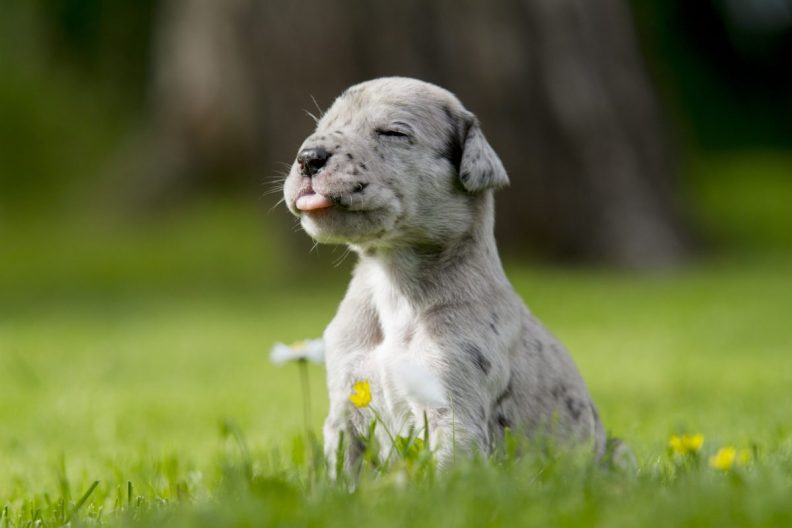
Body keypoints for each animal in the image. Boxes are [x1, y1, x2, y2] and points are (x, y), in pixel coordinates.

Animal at [284, 76, 608, 468]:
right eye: (322, 128)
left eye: (393, 132)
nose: (308, 158)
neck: (391, 279)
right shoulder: (346, 409)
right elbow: (342, 470)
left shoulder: (452, 406)